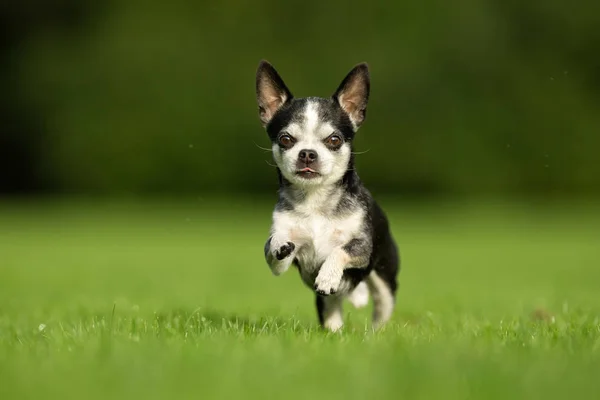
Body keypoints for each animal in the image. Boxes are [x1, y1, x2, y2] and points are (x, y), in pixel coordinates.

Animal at [255, 60, 400, 332]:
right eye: (285, 139)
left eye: (334, 140)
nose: (307, 153)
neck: (315, 203)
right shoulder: (285, 259)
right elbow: (271, 250)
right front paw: (279, 244)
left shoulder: (361, 248)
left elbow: (340, 251)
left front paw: (328, 276)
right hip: (326, 302)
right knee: (332, 313)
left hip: (385, 280)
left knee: (381, 311)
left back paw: (374, 333)